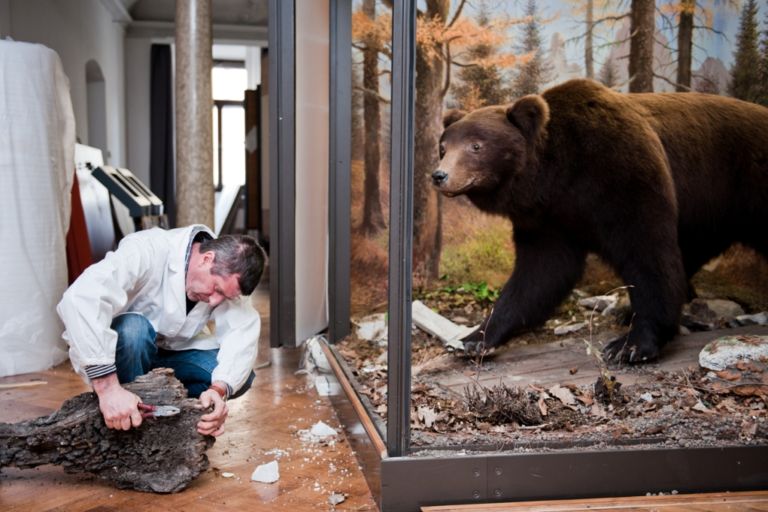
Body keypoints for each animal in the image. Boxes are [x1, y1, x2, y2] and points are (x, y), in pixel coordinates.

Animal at [432, 78, 768, 362]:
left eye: (476, 146)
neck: (554, 175)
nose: (439, 175)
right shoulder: (548, 218)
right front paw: (473, 339)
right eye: (444, 147)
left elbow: (647, 251)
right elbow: (539, 274)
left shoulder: (619, 173)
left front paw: (630, 345)